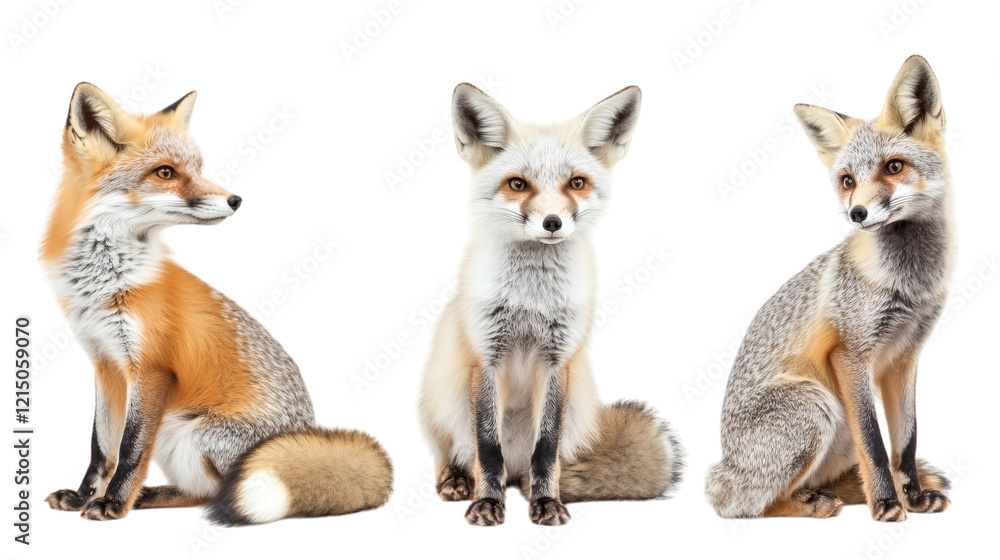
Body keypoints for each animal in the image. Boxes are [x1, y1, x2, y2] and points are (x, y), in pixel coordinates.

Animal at [40, 83, 392, 525]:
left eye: (198, 167)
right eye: (166, 172)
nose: (236, 200)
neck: (105, 281)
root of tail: (302, 431)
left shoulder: (151, 369)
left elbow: (131, 449)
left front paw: (113, 503)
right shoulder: (106, 365)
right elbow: (101, 447)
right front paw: (83, 496)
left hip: (193, 436)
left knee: (219, 492)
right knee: (198, 492)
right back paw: (150, 497)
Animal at [419, 84, 684, 527]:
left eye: (576, 183)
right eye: (517, 184)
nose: (553, 223)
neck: (532, 300)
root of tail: (515, 473)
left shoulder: (559, 360)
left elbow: (546, 448)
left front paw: (546, 503)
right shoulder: (486, 357)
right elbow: (486, 448)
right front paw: (486, 503)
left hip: (577, 407)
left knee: (539, 463)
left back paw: (532, 489)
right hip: (441, 400)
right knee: (459, 452)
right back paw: (457, 480)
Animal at [705, 55, 954, 522]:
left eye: (893, 167)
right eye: (847, 181)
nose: (857, 214)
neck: (908, 283)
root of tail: (725, 466)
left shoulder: (905, 357)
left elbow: (906, 443)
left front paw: (912, 497)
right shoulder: (851, 354)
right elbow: (875, 444)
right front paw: (887, 503)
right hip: (816, 406)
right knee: (748, 505)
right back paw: (813, 504)